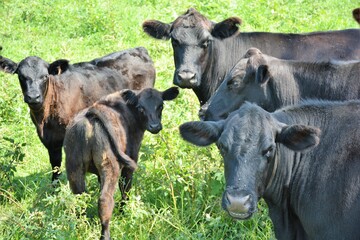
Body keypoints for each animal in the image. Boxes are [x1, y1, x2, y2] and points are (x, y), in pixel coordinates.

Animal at [0, 47, 155, 182]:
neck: (45, 119)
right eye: (21, 76)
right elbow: (55, 169)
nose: (33, 97)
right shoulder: (51, 142)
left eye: (44, 76)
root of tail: (140, 49)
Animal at [64, 86, 179, 240]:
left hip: (74, 166)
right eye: (141, 108)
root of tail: (90, 114)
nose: (155, 126)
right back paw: (105, 234)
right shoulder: (131, 161)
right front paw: (124, 212)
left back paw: (80, 227)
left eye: (161, 105)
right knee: (105, 199)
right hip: (110, 165)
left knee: (80, 197)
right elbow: (126, 189)